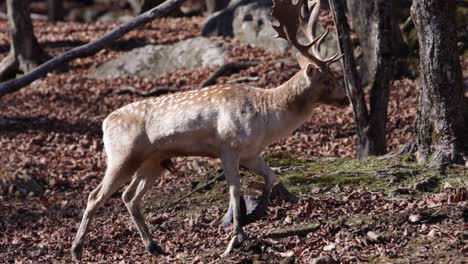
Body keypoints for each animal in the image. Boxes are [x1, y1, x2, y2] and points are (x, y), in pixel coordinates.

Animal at [70, 0, 348, 260]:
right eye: (328, 80)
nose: (346, 99)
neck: (267, 118)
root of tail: (105, 123)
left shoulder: (251, 153)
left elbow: (271, 177)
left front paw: (256, 214)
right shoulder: (229, 146)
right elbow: (235, 193)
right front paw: (236, 239)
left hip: (153, 160)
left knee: (129, 197)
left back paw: (154, 246)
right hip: (122, 155)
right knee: (95, 196)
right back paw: (77, 250)